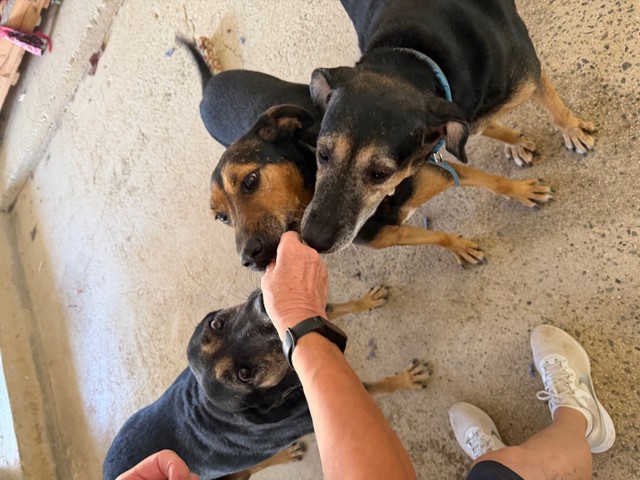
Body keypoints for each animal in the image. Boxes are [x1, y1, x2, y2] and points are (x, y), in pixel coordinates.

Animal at [103, 286, 430, 479]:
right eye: (244, 374)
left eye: (216, 324)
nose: (264, 306)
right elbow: (377, 386)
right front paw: (407, 379)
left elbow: (329, 307)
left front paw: (367, 300)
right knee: (251, 469)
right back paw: (285, 452)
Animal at [182, 40, 552, 271]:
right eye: (221, 218)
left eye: (251, 180)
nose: (249, 256)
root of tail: (207, 87)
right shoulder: (390, 235)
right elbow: (436, 235)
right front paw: (458, 246)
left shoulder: (437, 168)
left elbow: (492, 179)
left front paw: (522, 187)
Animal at [299, 0, 595, 253]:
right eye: (322, 154)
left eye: (380, 174)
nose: (312, 240)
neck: (417, 57)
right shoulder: (462, 114)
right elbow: (489, 130)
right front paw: (516, 145)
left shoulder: (529, 78)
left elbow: (556, 110)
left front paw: (573, 132)